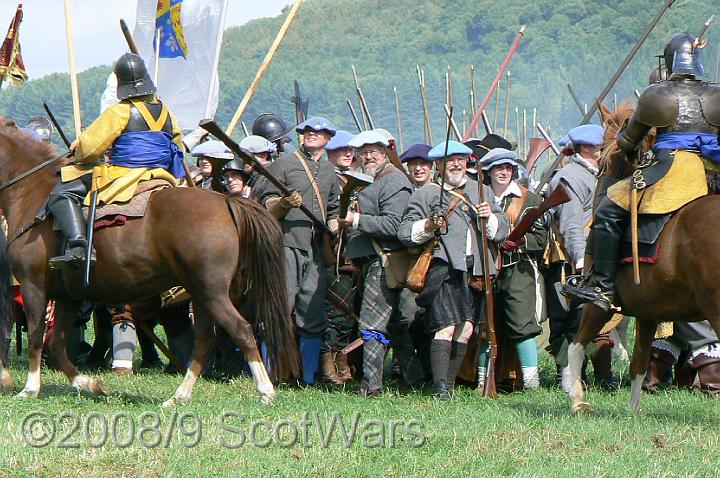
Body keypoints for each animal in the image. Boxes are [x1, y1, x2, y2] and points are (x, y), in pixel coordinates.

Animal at [0, 118, 300, 404]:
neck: (31, 191)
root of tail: (227, 202)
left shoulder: (33, 286)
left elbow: (37, 337)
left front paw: (29, 389)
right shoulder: (67, 297)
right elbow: (57, 346)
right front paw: (91, 384)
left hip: (212, 292)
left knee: (241, 330)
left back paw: (265, 391)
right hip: (201, 294)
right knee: (204, 340)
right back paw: (179, 396)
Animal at [564, 102, 720, 414]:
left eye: (604, 155)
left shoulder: (599, 302)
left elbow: (577, 344)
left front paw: (577, 400)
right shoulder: (649, 310)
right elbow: (639, 362)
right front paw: (633, 412)